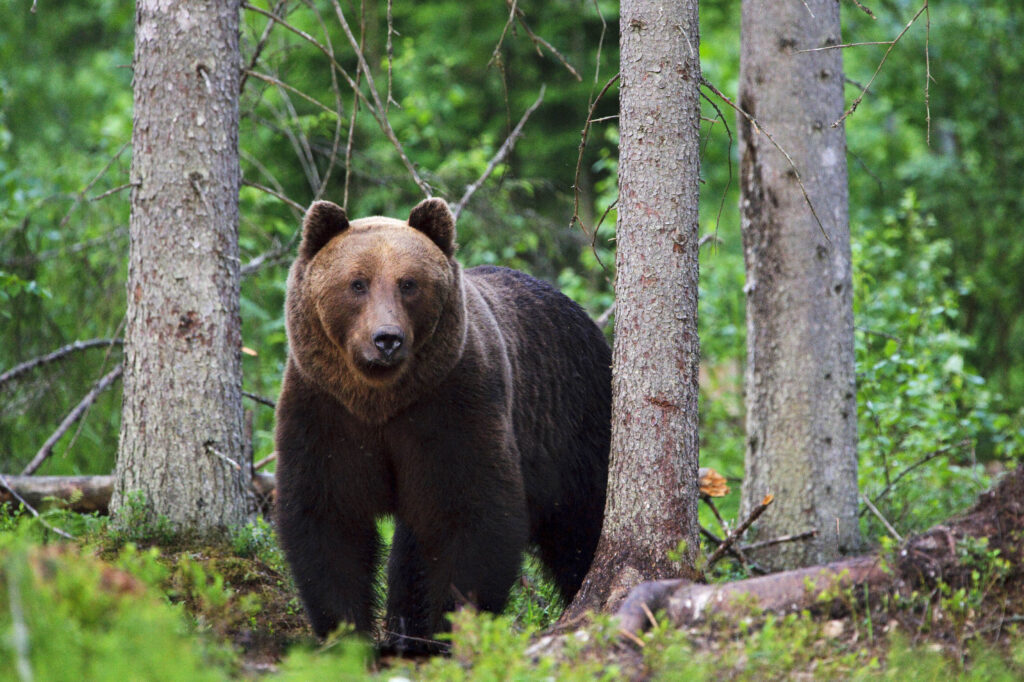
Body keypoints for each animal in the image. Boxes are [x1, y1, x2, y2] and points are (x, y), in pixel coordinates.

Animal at [274, 197, 611, 654]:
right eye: (357, 283)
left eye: (409, 283)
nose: (387, 339)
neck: (381, 399)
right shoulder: (325, 410)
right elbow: (329, 516)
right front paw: (345, 633)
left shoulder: (452, 405)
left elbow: (469, 515)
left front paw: (448, 629)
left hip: (575, 424)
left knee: (581, 527)